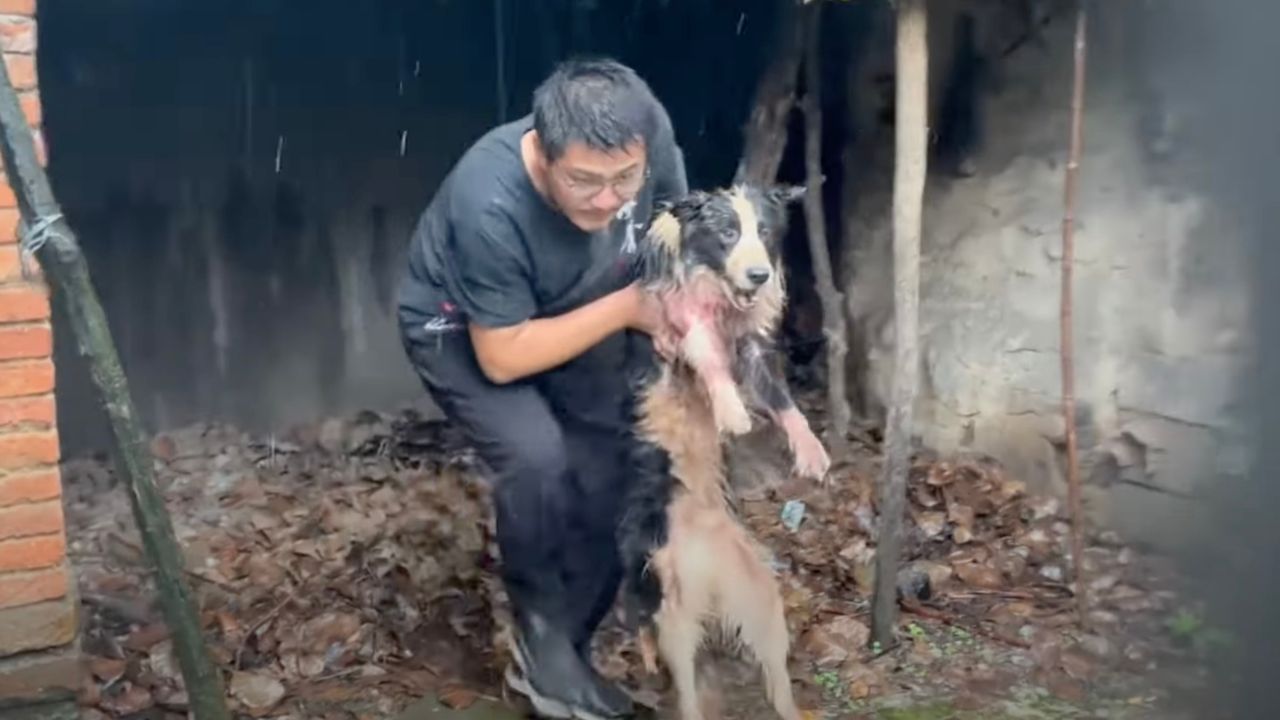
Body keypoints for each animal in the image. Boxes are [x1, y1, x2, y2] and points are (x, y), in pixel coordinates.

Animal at [616, 183, 829, 717]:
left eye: (766, 231)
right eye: (727, 233)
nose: (759, 275)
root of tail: (710, 572)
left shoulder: (753, 348)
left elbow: (779, 395)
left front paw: (810, 450)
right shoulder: (669, 319)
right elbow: (705, 351)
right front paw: (732, 412)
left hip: (763, 605)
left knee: (777, 682)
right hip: (672, 611)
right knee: (673, 666)